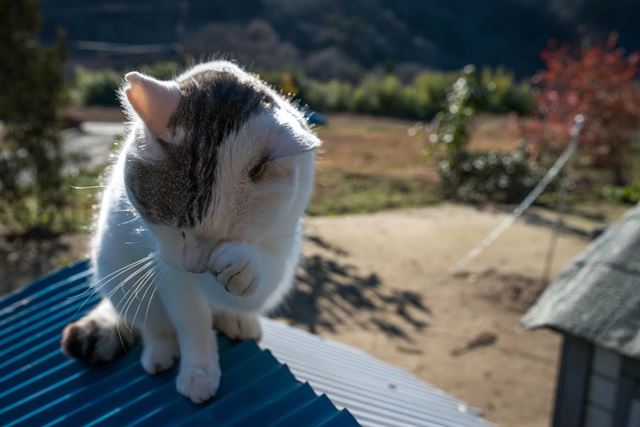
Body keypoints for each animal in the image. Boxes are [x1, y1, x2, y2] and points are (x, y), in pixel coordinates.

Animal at [60, 61, 320, 404]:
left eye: (225, 237)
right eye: (175, 227)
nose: (194, 266)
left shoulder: (281, 240)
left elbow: (260, 276)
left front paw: (242, 267)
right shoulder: (167, 269)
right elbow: (191, 322)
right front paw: (198, 372)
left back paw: (239, 321)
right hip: (114, 266)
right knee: (150, 322)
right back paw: (159, 351)